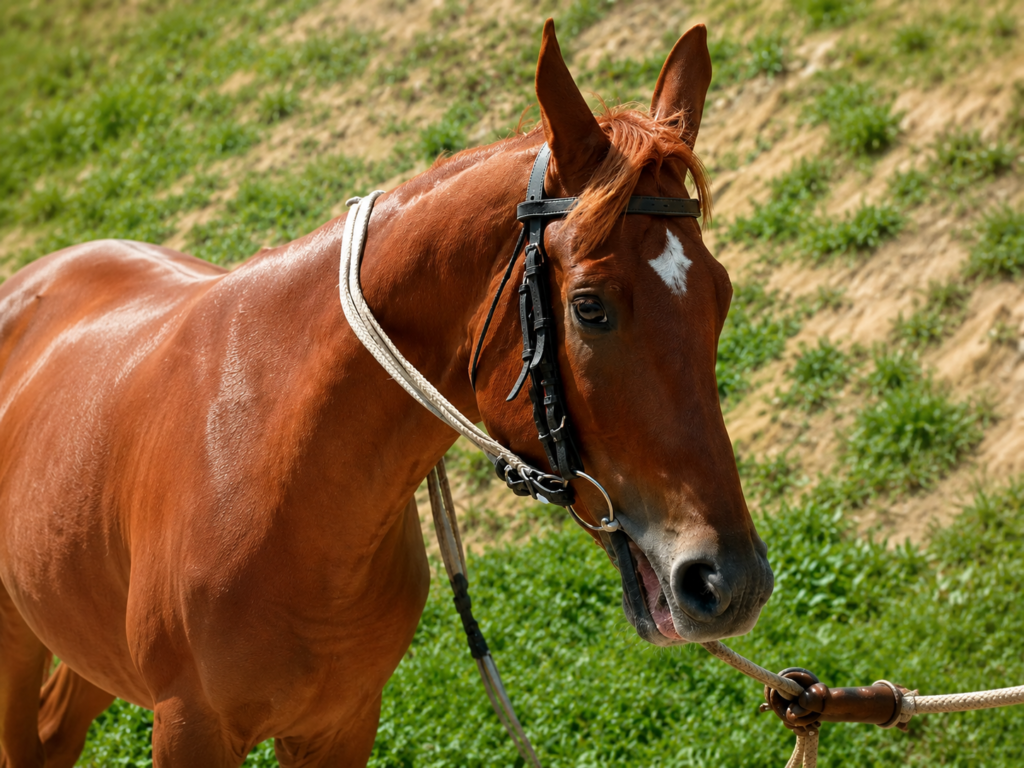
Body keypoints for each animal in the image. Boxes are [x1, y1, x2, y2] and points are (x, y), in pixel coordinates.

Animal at [0, 20, 773, 767]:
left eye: (721, 294)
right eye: (589, 307)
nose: (729, 583)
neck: (275, 474)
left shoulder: (340, 725)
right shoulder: (191, 731)